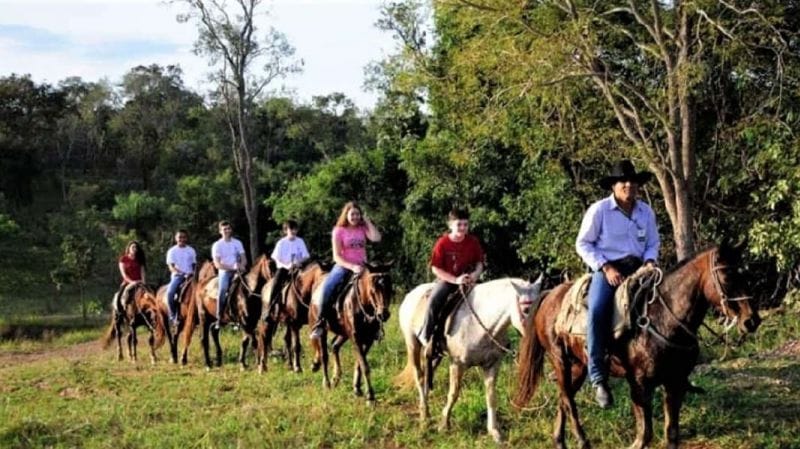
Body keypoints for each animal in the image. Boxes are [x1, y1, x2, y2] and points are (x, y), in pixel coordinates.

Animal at [308, 262, 392, 402]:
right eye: (373, 289)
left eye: (389, 287)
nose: (383, 314)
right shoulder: (356, 338)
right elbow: (364, 365)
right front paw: (370, 397)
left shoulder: (367, 339)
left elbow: (359, 363)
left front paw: (357, 388)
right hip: (323, 331)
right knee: (324, 355)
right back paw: (327, 383)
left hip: (344, 334)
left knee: (334, 346)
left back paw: (335, 378)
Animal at [396, 274, 544, 442]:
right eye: (526, 309)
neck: (481, 324)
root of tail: (411, 294)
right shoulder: (457, 364)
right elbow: (453, 394)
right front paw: (444, 424)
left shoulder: (492, 365)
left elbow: (491, 396)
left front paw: (494, 431)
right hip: (412, 344)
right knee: (420, 377)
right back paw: (424, 416)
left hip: (433, 355)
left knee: (428, 374)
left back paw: (426, 411)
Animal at [512, 245, 764, 448]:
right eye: (727, 277)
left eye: (747, 274)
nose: (751, 320)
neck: (663, 319)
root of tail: (549, 294)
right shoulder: (640, 384)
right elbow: (644, 436)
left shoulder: (675, 383)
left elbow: (671, 434)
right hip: (560, 359)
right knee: (568, 401)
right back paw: (583, 440)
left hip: (578, 365)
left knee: (563, 399)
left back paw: (560, 441)